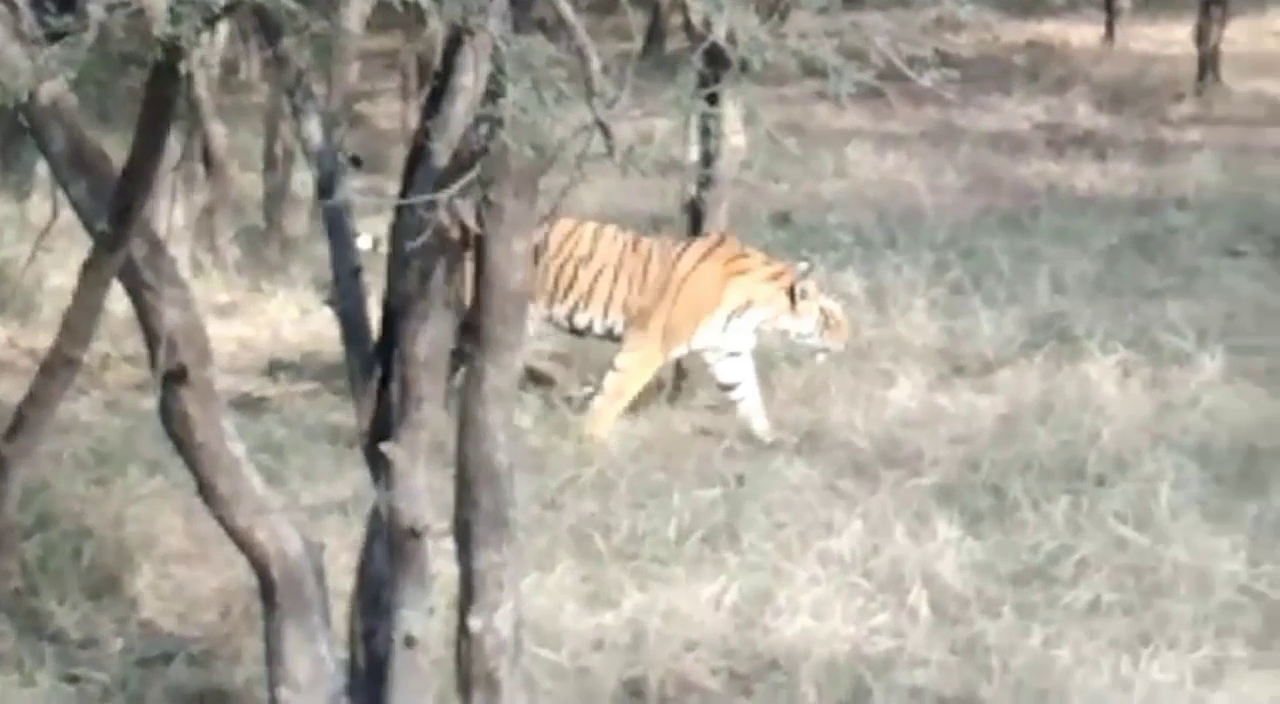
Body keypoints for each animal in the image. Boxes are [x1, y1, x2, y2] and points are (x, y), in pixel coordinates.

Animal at [445, 216, 844, 448]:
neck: (757, 310)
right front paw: (591, 441)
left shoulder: (729, 351)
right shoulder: (649, 344)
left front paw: (770, 437)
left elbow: (748, 395)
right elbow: (616, 392)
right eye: (829, 317)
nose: (848, 341)